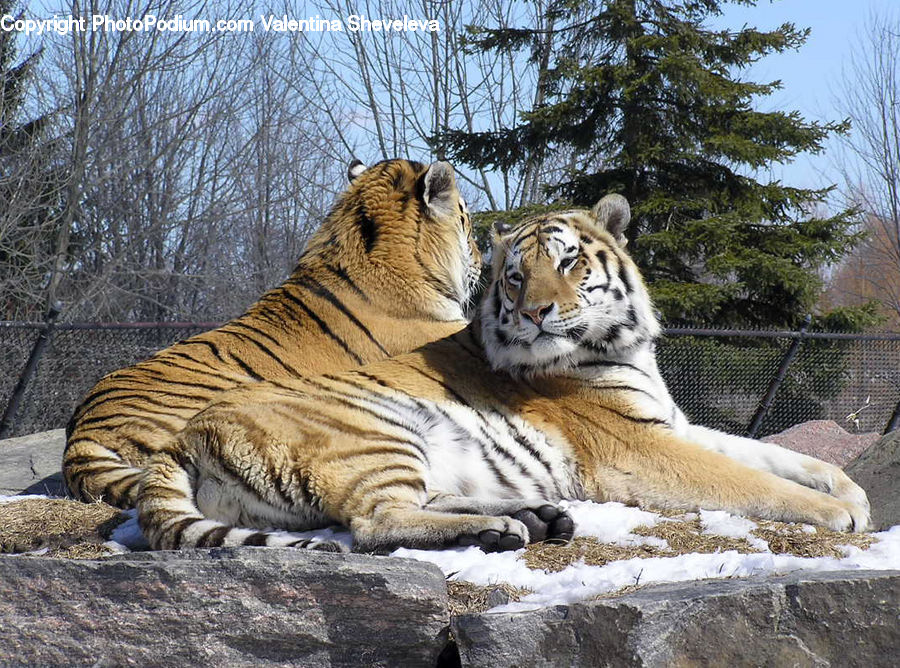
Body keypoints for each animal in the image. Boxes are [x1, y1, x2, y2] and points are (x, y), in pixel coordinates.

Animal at [137, 194, 871, 553]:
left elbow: (773, 454)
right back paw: (503, 529)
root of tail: (180, 439)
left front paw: (851, 491)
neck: (623, 347)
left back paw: (533, 517)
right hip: (374, 433)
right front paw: (836, 514)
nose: (535, 310)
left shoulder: (670, 423)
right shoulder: (638, 445)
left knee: (416, 502)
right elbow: (751, 478)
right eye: (515, 276)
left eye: (569, 261)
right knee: (374, 520)